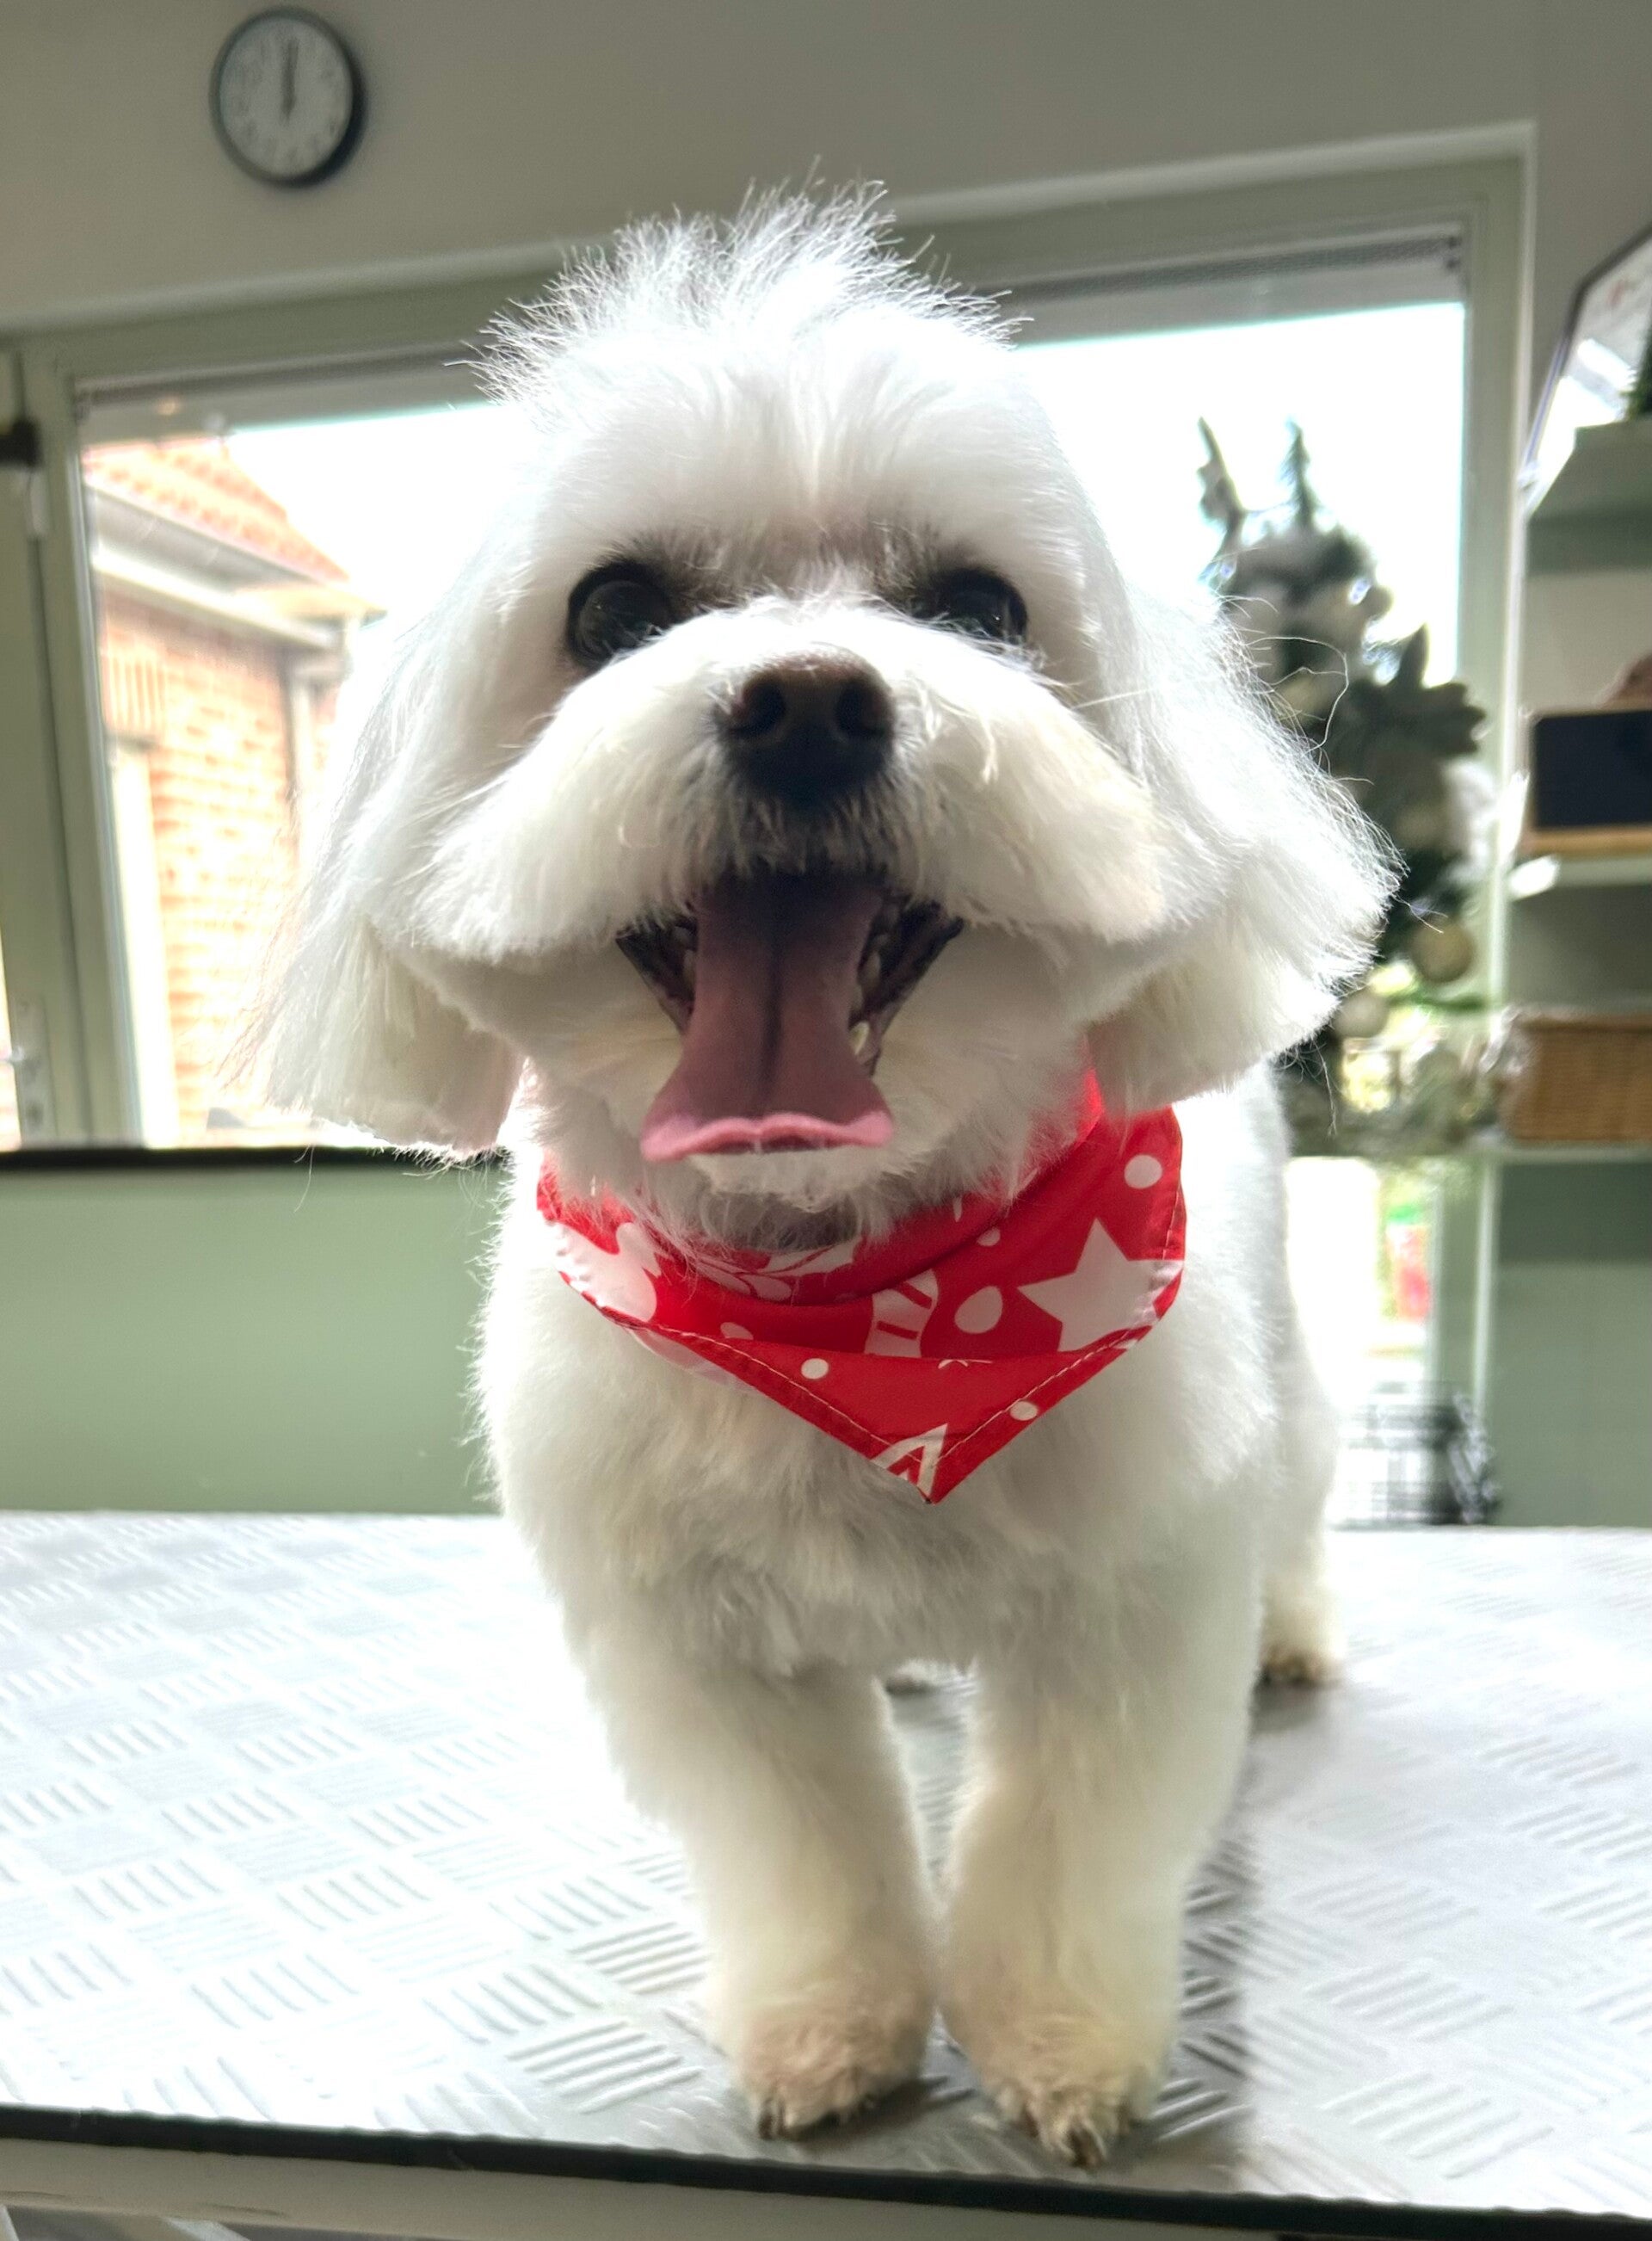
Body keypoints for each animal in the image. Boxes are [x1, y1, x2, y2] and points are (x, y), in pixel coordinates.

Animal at [257, 194, 1388, 2164]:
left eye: (978, 608)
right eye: (616, 608)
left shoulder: (1129, 1598)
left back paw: (1298, 1633)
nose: (804, 703)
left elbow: (1063, 1847)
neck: (862, 1299)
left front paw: (1063, 2048)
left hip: (1288, 1385)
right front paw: (831, 2028)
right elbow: (808, 1850)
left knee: (1306, 1510)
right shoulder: (699, 1649)